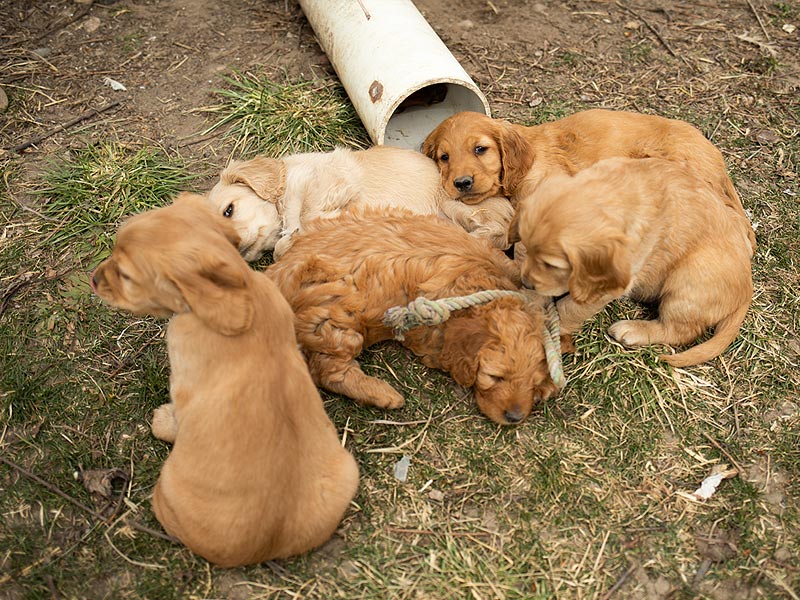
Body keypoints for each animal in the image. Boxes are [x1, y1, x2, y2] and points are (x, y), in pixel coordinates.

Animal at [90, 193, 360, 568]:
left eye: (126, 275)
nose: (93, 279)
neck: (243, 293)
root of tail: (262, 550)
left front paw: (163, 419)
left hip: (167, 486)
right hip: (349, 469)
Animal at [206, 145, 516, 260]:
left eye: (229, 210)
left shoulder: (331, 178)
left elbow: (306, 216)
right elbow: (284, 246)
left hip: (454, 203)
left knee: (498, 231)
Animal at [266, 209, 560, 424]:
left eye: (532, 383)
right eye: (495, 377)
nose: (515, 417)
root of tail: (275, 280)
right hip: (334, 321)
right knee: (328, 371)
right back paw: (383, 394)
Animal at [510, 157, 752, 368]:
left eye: (553, 265)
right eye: (525, 246)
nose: (526, 282)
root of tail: (746, 292)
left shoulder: (607, 285)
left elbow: (569, 307)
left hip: (688, 282)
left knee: (679, 331)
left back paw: (633, 330)